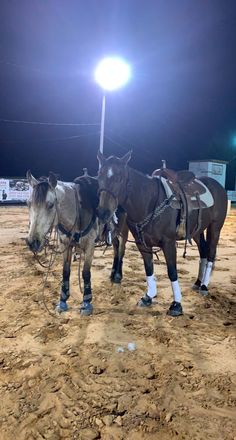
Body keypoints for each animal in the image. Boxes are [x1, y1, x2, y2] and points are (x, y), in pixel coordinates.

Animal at [97, 151, 228, 316]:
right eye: (99, 175)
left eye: (119, 177)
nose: (102, 212)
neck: (149, 202)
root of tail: (218, 186)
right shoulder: (142, 244)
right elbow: (148, 268)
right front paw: (148, 296)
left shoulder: (168, 243)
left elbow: (172, 271)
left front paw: (176, 304)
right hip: (196, 231)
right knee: (203, 251)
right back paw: (198, 282)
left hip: (215, 228)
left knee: (211, 252)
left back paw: (204, 285)